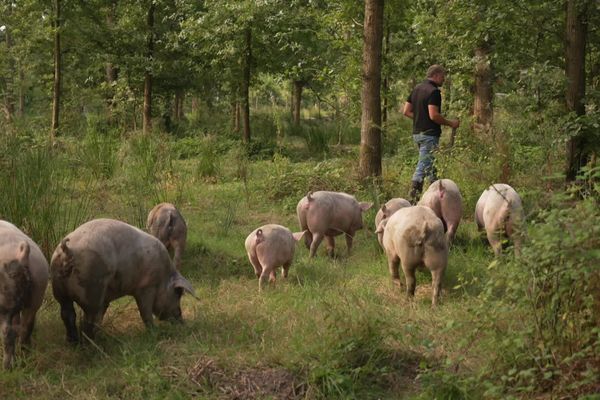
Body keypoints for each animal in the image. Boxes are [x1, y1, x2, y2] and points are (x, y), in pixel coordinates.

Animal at [0, 220, 49, 370]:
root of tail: (21, 256)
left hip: (4, 303)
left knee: (7, 332)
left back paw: (7, 367)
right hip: (37, 293)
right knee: (26, 327)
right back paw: (26, 355)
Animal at [49, 217, 195, 342]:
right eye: (178, 293)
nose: (181, 320)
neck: (163, 276)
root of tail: (68, 250)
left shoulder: (106, 299)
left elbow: (102, 314)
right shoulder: (146, 287)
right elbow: (145, 312)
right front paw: (154, 333)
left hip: (59, 288)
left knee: (67, 313)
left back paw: (73, 342)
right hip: (91, 286)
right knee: (87, 319)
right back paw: (92, 344)